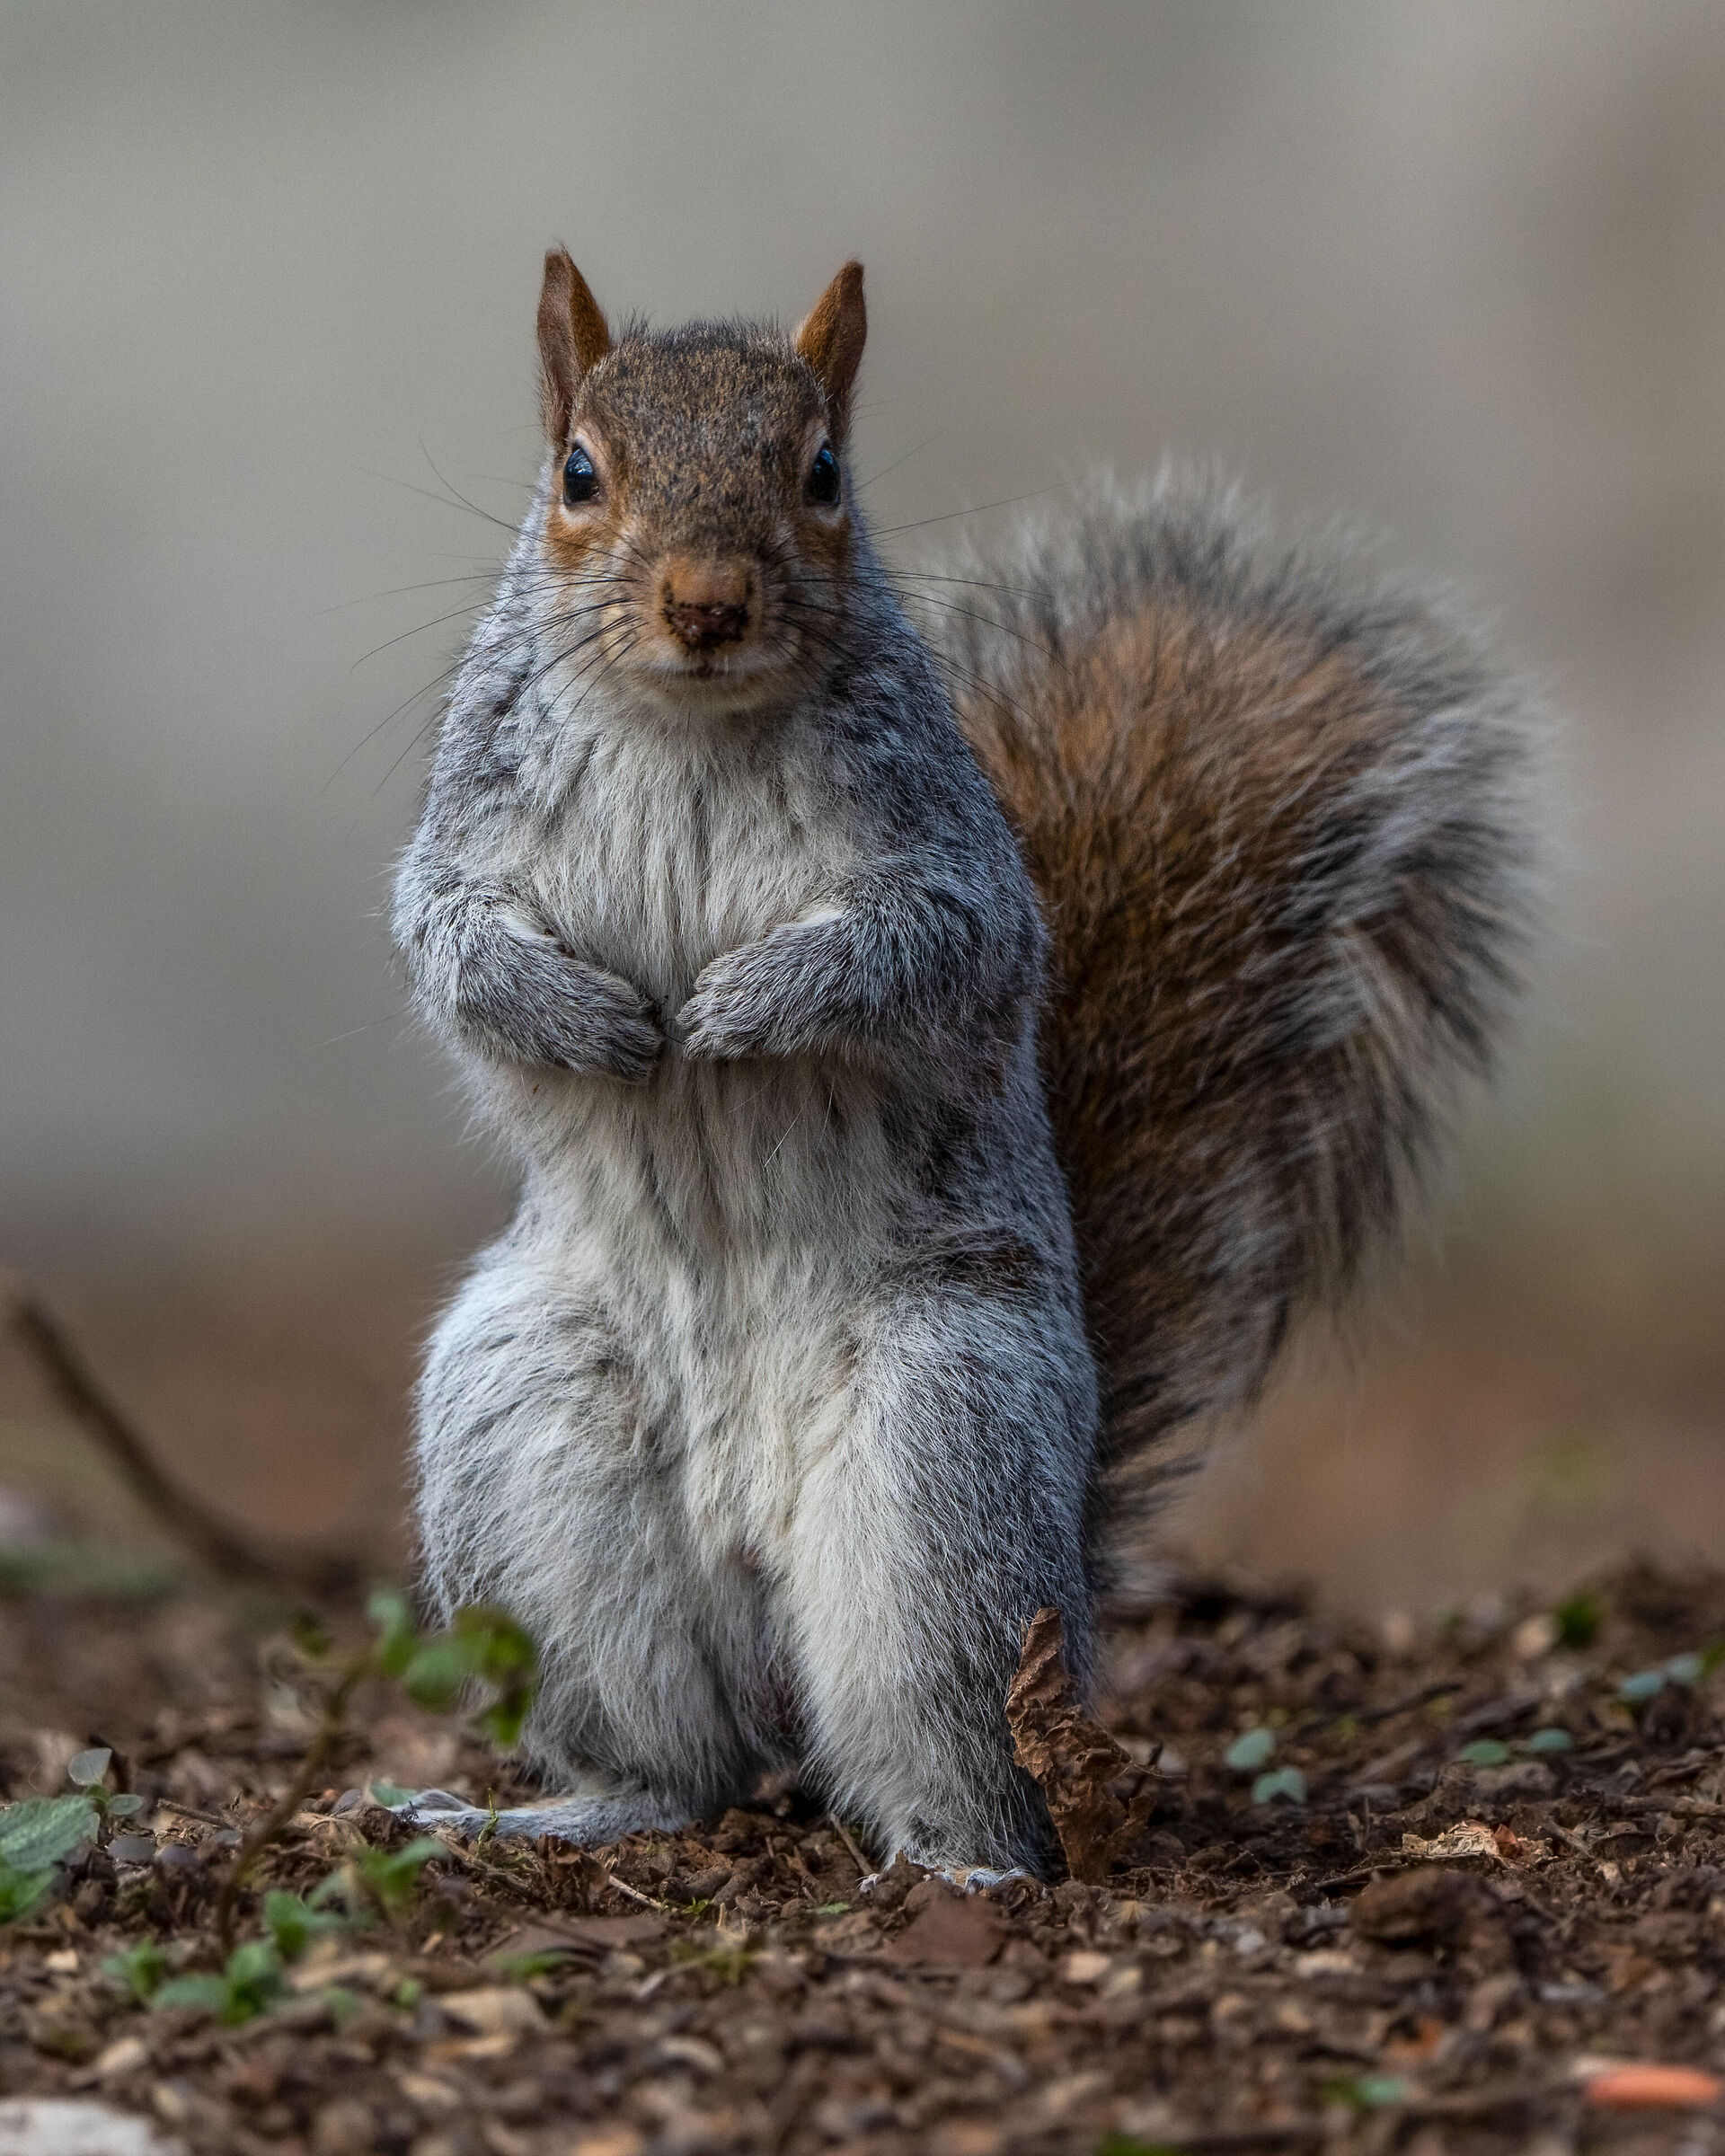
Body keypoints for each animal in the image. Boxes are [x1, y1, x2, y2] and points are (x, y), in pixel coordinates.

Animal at [390, 252, 1541, 1877]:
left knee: (948, 1746)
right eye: (577, 474)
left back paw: (966, 1862)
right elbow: (447, 941)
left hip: (943, 1468)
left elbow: (923, 952)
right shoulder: (466, 836)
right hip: (527, 1453)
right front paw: (582, 1016)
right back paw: (564, 1809)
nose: (707, 604)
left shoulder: (953, 871)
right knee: (681, 1763)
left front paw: (745, 1006)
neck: (689, 724)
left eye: (823, 473)